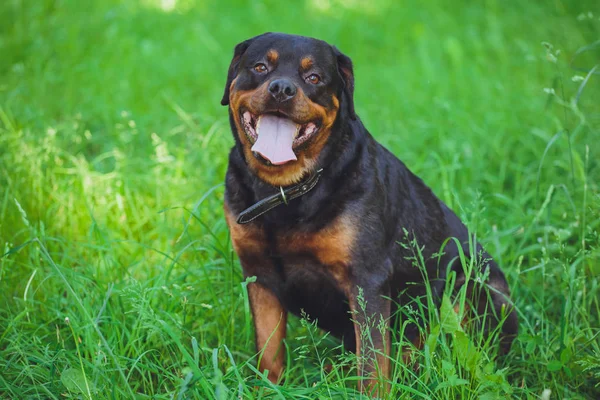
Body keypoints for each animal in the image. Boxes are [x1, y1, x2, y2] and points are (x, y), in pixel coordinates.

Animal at [223, 32, 516, 392]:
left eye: (314, 77)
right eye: (261, 67)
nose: (281, 88)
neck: (287, 191)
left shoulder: (367, 280)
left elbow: (373, 365)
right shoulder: (259, 275)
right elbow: (268, 354)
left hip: (469, 288)